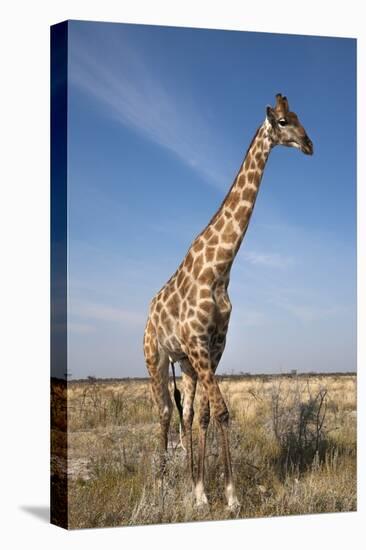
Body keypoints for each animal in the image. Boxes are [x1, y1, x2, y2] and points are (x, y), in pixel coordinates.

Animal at [144, 92, 314, 512]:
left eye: (299, 117)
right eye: (284, 121)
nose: (309, 145)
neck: (220, 269)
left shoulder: (214, 346)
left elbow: (207, 414)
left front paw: (204, 491)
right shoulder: (199, 344)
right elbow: (221, 411)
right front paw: (231, 497)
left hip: (185, 363)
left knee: (187, 412)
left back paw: (186, 482)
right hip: (156, 356)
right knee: (164, 412)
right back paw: (159, 485)